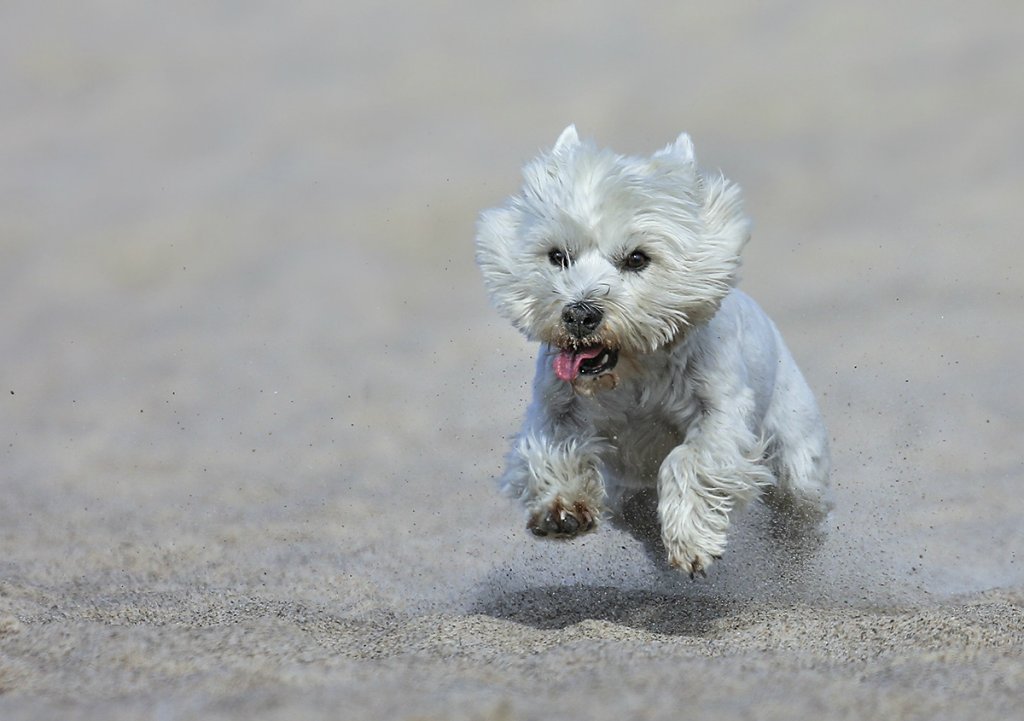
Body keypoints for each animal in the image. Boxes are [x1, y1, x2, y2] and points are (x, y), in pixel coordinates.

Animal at [475, 123, 835, 573]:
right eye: (558, 256)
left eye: (637, 258)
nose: (578, 314)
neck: (633, 370)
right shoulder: (557, 405)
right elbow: (554, 445)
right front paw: (563, 509)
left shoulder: (721, 414)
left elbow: (690, 459)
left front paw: (692, 542)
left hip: (796, 446)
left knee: (800, 497)